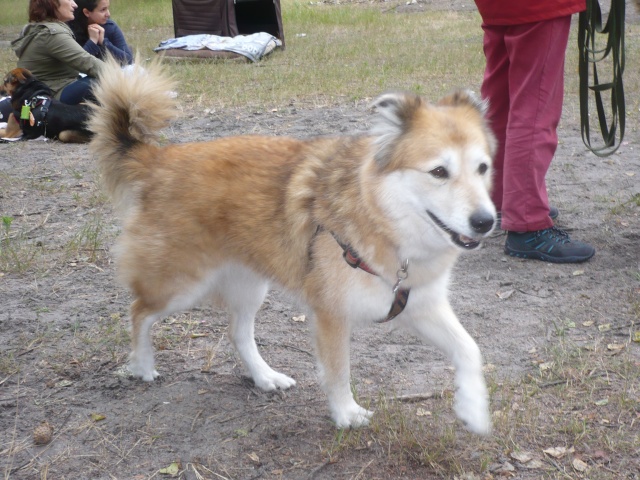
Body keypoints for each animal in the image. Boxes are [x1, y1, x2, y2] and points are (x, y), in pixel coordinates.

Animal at [90, 57, 498, 436]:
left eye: (483, 168)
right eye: (439, 172)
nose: (486, 221)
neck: (380, 217)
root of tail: (160, 160)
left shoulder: (421, 303)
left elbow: (470, 349)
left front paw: (473, 409)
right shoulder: (332, 314)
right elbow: (338, 371)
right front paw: (346, 414)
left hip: (250, 283)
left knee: (237, 332)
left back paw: (264, 376)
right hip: (181, 284)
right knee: (139, 311)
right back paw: (142, 365)